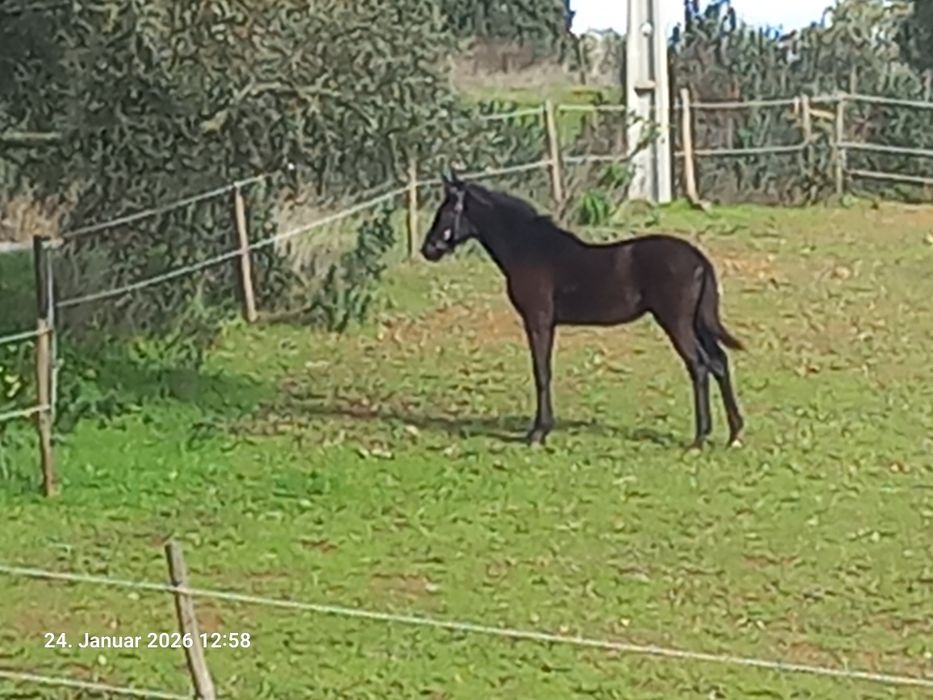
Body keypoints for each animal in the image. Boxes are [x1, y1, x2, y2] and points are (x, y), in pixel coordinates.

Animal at [419, 171, 745, 449]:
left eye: (447, 211)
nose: (428, 249)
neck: (530, 249)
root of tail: (699, 259)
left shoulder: (538, 321)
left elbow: (541, 372)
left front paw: (538, 433)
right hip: (696, 323)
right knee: (719, 362)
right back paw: (734, 434)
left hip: (677, 323)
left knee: (699, 366)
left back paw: (699, 439)